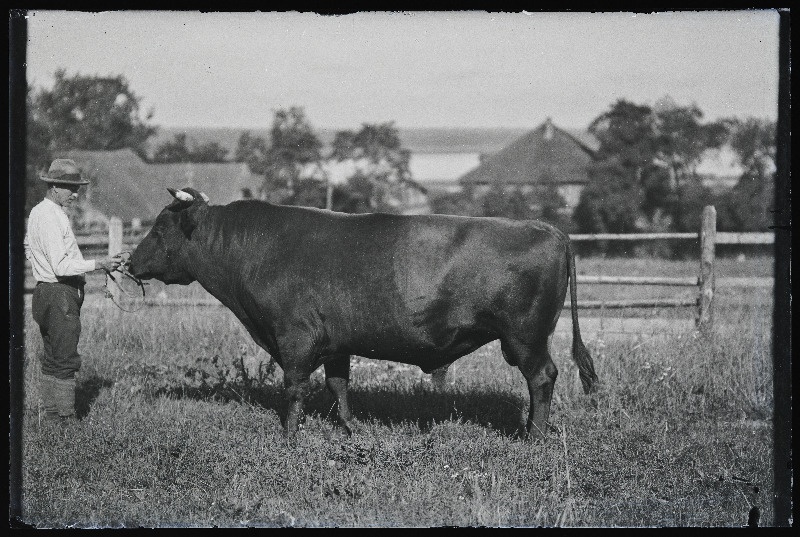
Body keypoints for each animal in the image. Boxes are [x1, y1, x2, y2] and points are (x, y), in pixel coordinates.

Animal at [128, 186, 596, 438]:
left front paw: (289, 437)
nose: (129, 263)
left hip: (525, 337)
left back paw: (534, 436)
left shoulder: (294, 337)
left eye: (159, 228)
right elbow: (338, 385)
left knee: (542, 377)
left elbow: (294, 388)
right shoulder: (336, 342)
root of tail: (548, 229)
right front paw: (349, 429)